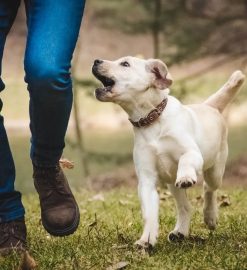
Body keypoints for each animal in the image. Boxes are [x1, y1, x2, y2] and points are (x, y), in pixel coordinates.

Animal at [92, 57, 245, 247]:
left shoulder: (192, 153)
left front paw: (186, 176)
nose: (96, 61)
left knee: (209, 188)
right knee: (185, 207)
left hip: (215, 171)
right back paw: (180, 232)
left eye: (125, 64)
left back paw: (210, 217)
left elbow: (186, 160)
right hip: (173, 185)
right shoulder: (147, 180)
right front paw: (146, 240)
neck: (151, 120)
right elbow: (149, 214)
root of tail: (209, 106)